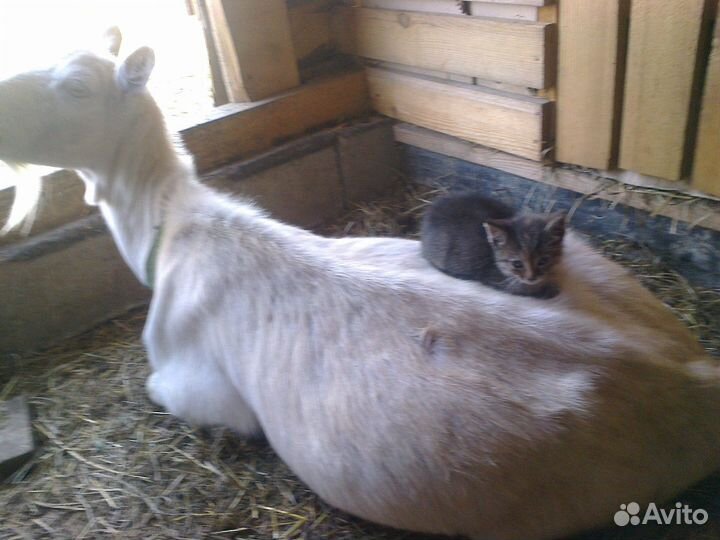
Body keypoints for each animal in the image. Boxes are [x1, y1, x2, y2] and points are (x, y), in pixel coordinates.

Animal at [1, 30, 719, 540]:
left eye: (75, 86)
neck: (171, 223)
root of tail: (694, 370)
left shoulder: (198, 388)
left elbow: (164, 389)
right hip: (599, 267)